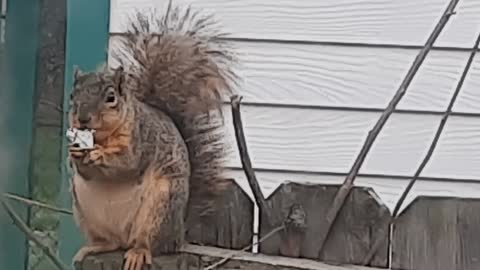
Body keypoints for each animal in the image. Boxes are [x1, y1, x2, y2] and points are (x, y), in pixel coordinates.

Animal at [66, 2, 239, 270]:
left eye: (110, 97)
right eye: (73, 96)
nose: (82, 119)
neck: (103, 136)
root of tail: (179, 234)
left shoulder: (143, 140)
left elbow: (127, 163)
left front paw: (98, 154)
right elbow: (85, 171)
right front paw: (75, 154)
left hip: (160, 207)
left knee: (148, 243)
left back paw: (139, 252)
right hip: (86, 212)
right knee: (111, 242)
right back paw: (94, 247)